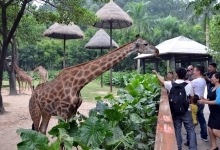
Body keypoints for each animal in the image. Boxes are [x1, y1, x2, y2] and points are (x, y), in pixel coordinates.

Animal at [29, 37, 160, 134]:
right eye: (145, 43)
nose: (157, 51)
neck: (79, 84)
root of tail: (32, 95)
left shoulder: (72, 112)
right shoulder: (62, 113)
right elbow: (62, 141)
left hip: (46, 112)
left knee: (42, 130)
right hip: (35, 111)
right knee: (36, 130)